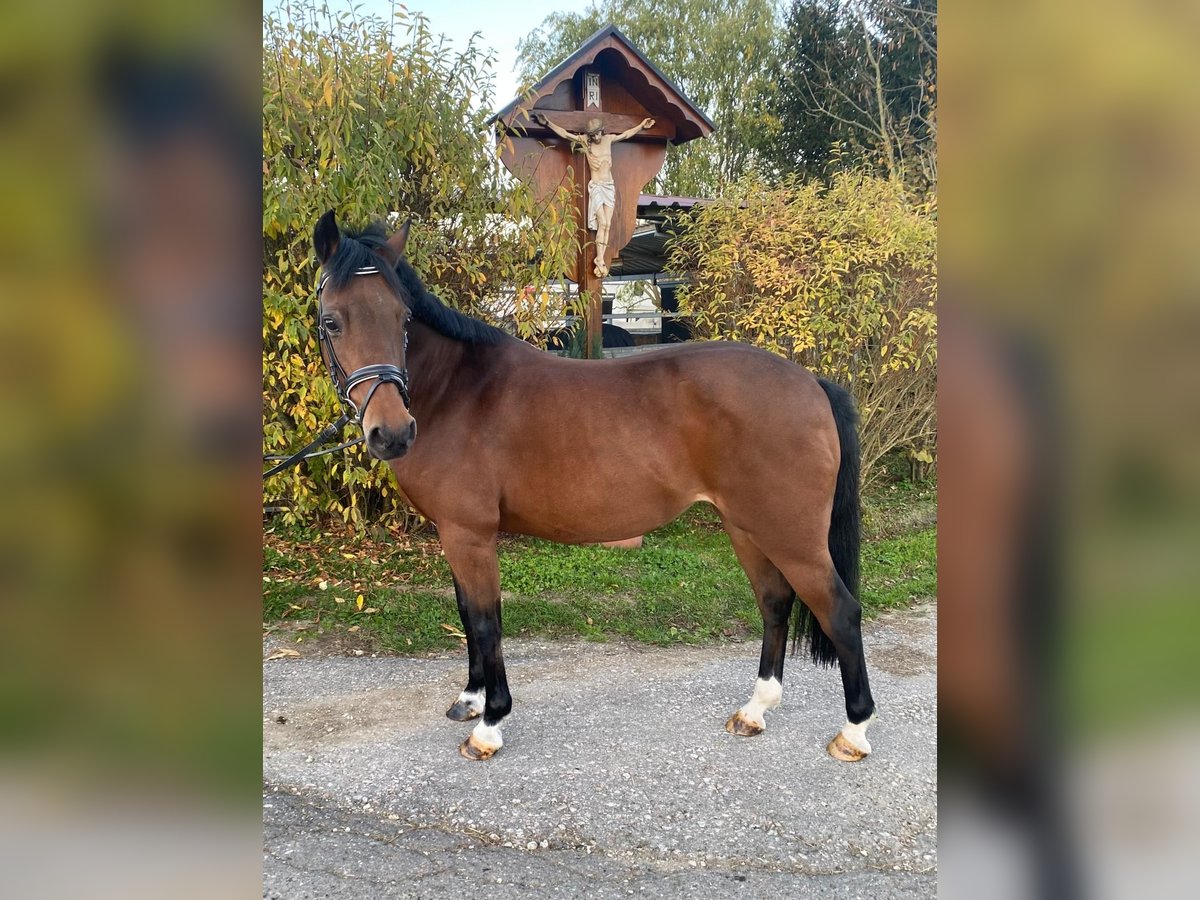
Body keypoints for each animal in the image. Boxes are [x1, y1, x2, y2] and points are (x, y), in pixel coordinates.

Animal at [304, 211, 878, 763]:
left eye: (402, 319)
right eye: (331, 321)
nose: (392, 433)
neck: (457, 391)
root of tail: (811, 383)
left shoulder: (470, 534)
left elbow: (487, 622)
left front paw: (489, 724)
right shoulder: (453, 533)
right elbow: (467, 613)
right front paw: (469, 699)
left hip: (791, 535)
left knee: (840, 612)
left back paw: (853, 732)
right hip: (747, 527)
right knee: (775, 603)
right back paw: (755, 710)